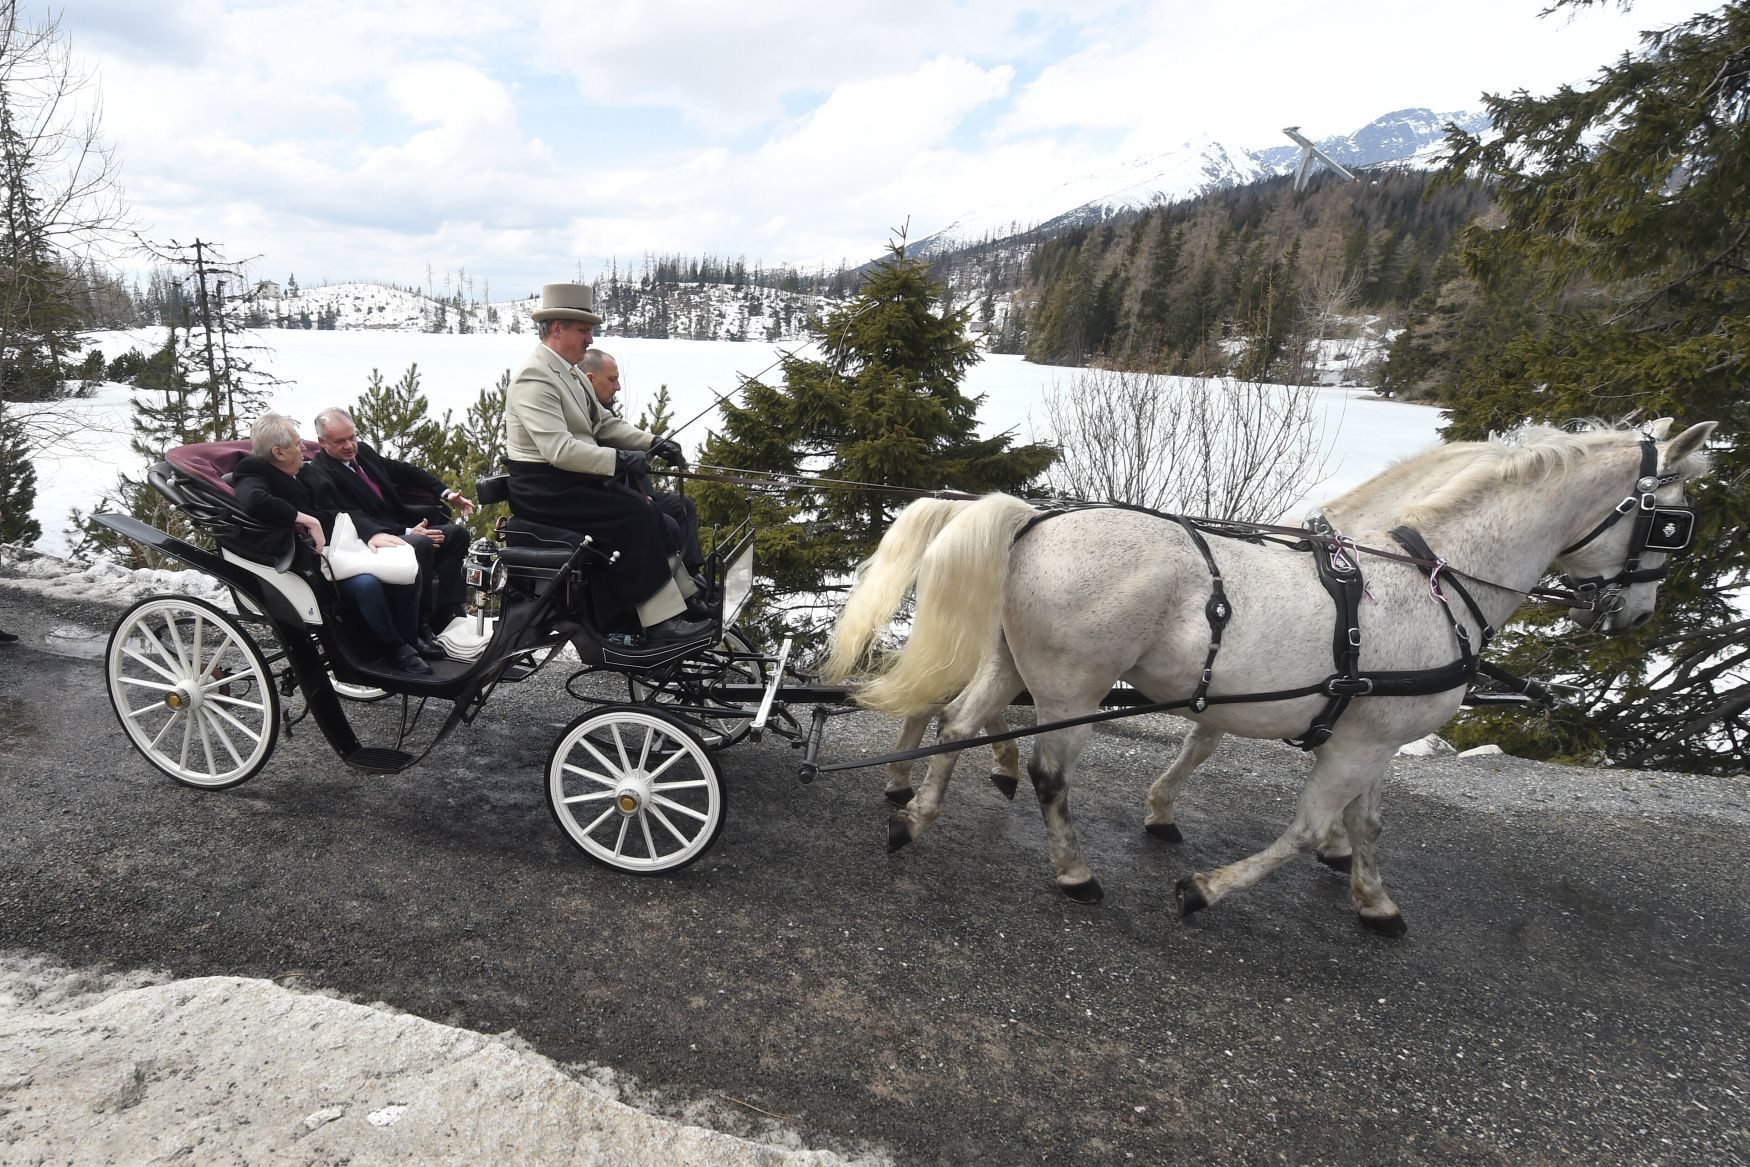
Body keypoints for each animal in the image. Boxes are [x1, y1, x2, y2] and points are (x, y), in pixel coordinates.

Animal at [826, 419, 1715, 930]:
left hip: (1016, 662)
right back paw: (1072, 869)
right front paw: (1203, 887)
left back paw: (915, 816)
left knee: (959, 719)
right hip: (1072, 685)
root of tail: (1036, 520)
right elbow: (1307, 825)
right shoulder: (1353, 740)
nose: (1637, 614)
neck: (1432, 578)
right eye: (1672, 522)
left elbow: (1365, 823)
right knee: (1045, 771)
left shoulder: (1372, 733)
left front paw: (1372, 895)